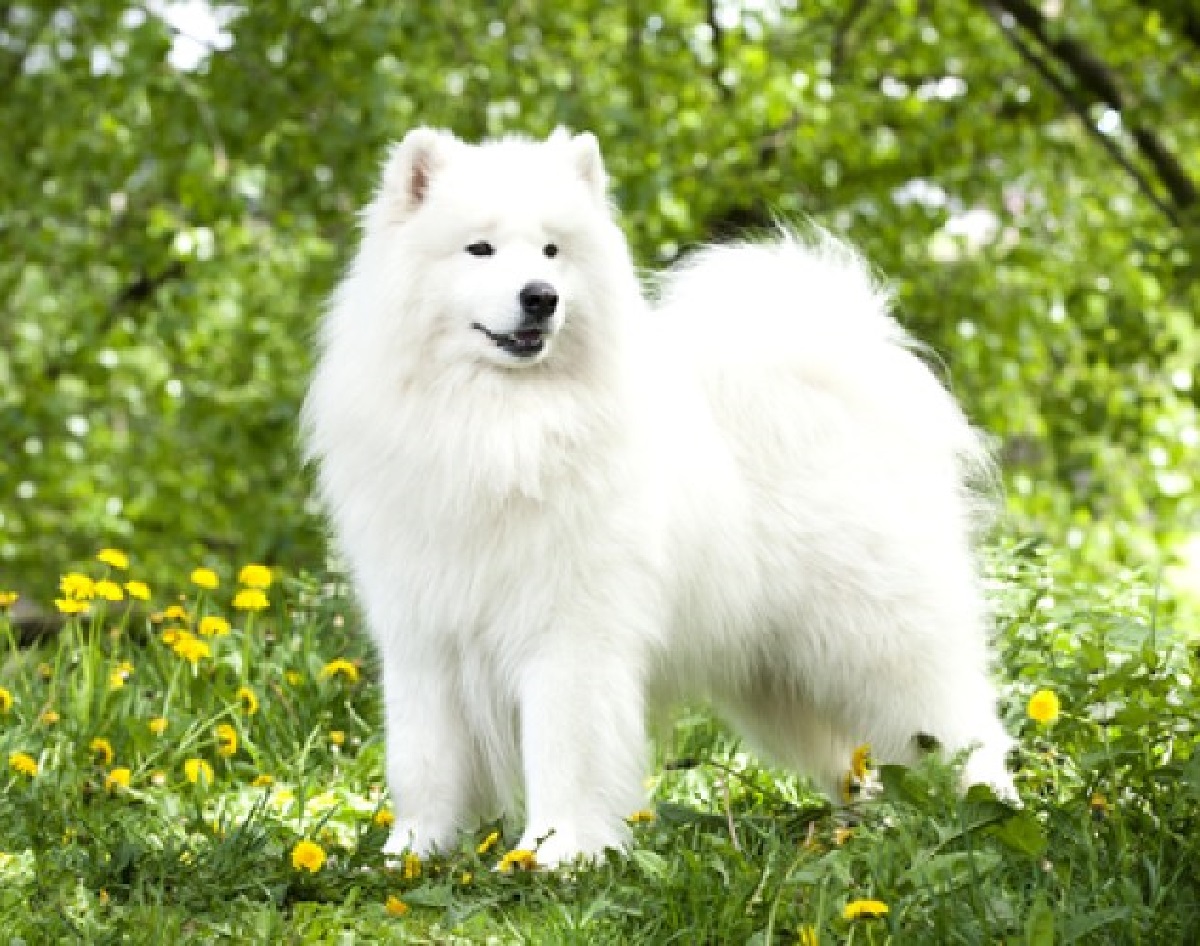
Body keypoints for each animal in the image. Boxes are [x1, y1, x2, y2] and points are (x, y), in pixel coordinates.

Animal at [302, 129, 1012, 869]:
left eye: (552, 251)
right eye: (480, 249)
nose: (541, 297)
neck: (501, 423)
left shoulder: (569, 634)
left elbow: (564, 752)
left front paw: (558, 853)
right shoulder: (425, 637)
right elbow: (425, 761)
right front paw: (413, 853)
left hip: (879, 635)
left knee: (959, 724)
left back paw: (991, 813)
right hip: (779, 675)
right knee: (857, 760)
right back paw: (867, 826)